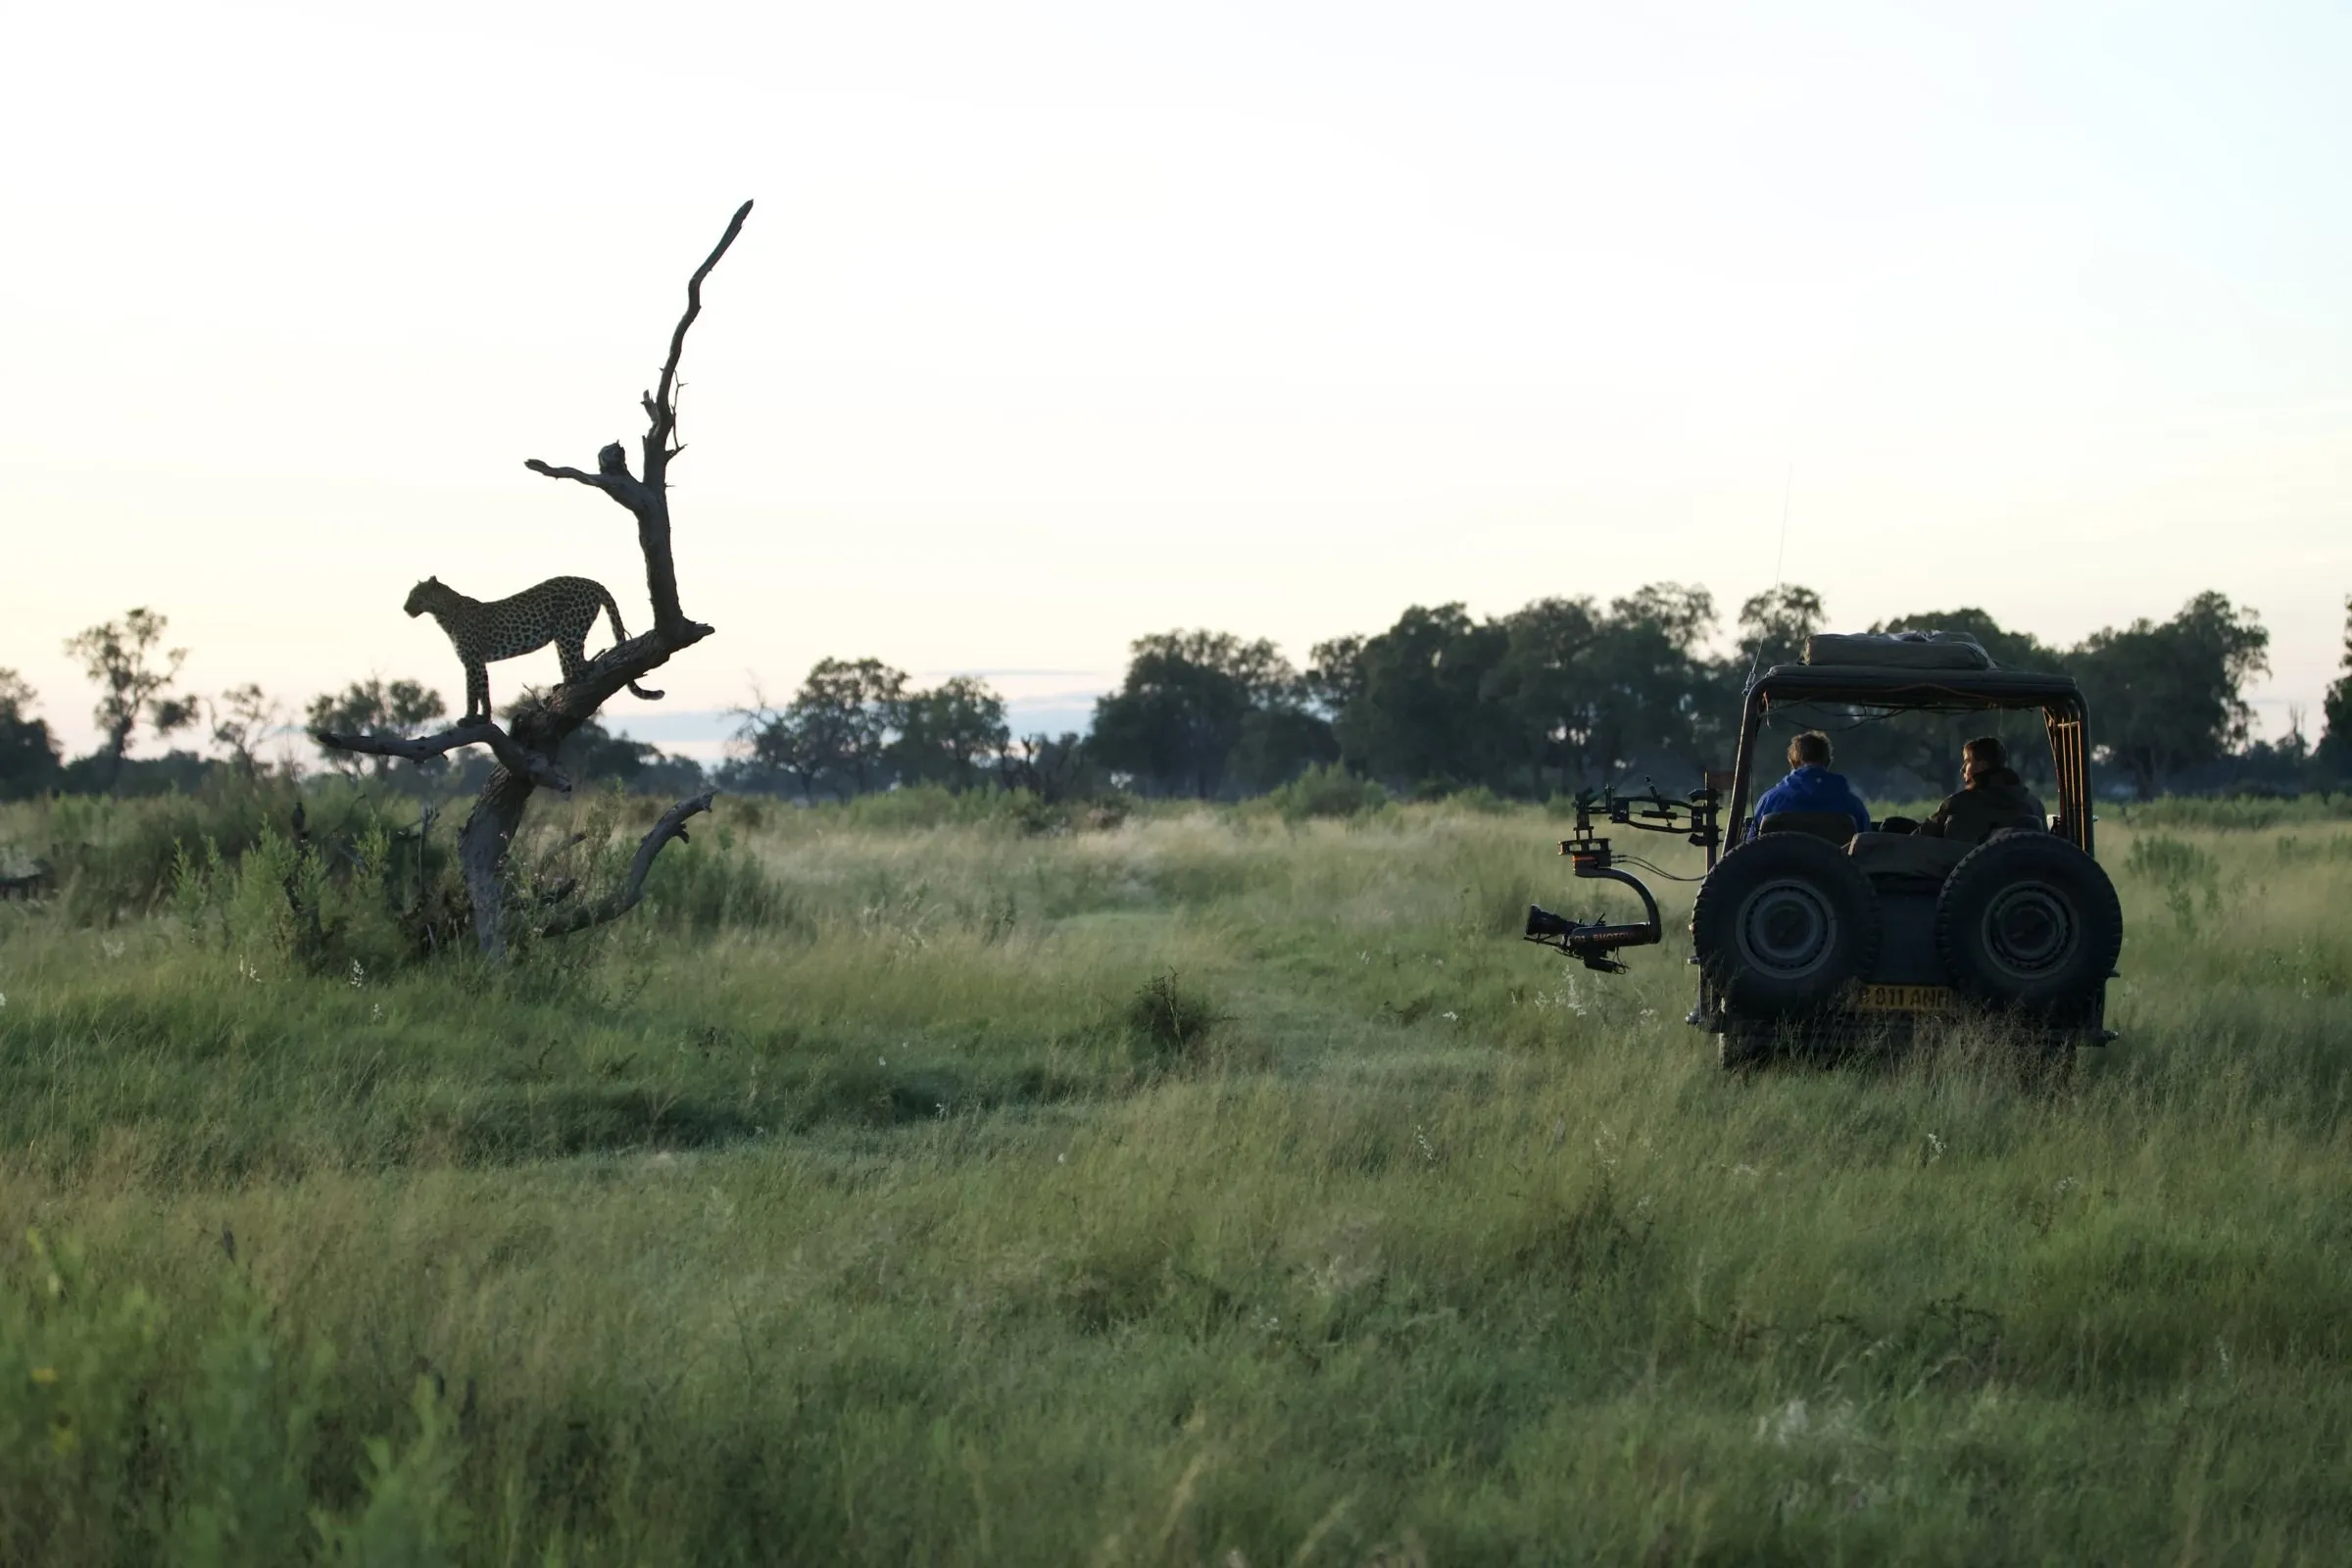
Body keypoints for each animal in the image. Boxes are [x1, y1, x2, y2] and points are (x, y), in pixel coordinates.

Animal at [404, 575, 663, 724]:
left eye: (415, 595)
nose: (405, 608)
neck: (443, 613)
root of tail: (592, 582)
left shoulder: (472, 660)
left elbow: (472, 691)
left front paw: (470, 718)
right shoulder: (477, 662)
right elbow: (482, 690)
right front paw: (482, 717)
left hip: (569, 630)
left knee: (584, 665)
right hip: (562, 635)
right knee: (575, 664)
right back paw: (561, 686)